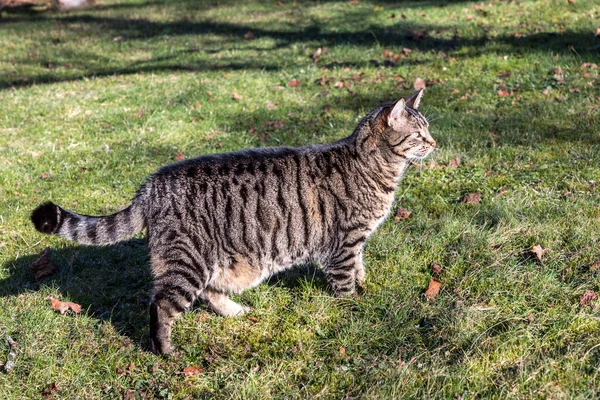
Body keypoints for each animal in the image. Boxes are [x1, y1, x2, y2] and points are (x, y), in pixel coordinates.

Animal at [30, 90, 436, 354]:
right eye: (419, 133)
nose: (434, 143)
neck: (376, 168)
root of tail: (151, 184)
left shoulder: (357, 243)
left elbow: (361, 270)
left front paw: (366, 289)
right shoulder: (344, 244)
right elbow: (346, 282)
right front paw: (353, 309)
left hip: (217, 261)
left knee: (210, 292)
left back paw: (236, 312)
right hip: (188, 261)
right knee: (161, 305)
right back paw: (165, 351)